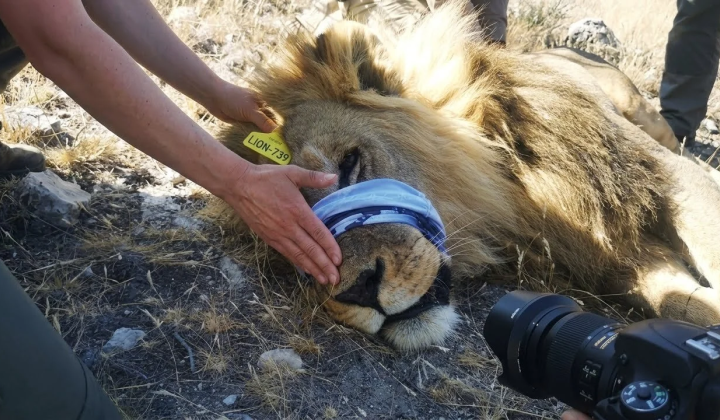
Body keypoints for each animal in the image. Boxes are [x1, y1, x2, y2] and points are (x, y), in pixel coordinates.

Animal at [212, 1, 720, 352]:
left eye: (350, 163)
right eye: (285, 234)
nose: (359, 290)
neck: (519, 190)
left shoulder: (663, 179)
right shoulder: (611, 260)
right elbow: (675, 300)